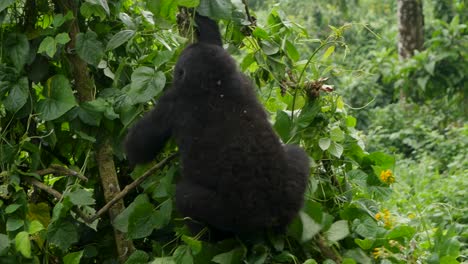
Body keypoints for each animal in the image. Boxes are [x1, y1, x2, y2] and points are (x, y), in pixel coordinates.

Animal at [123, 13, 310, 235]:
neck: (214, 84)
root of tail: (269, 217)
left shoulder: (173, 101)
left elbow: (138, 148)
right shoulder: (237, 77)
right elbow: (212, 36)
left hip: (233, 214)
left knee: (185, 196)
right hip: (288, 197)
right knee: (298, 154)